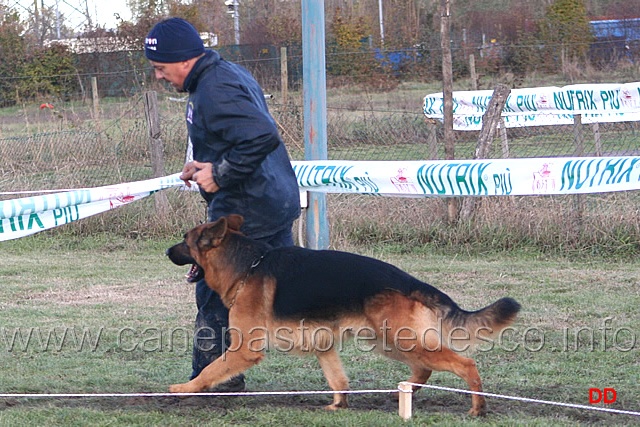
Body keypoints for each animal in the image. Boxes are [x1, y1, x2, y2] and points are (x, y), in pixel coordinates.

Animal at [165, 216, 520, 416]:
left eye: (184, 240)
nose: (167, 251)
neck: (246, 267)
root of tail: (412, 282)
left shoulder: (243, 350)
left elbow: (211, 369)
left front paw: (185, 389)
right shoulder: (324, 346)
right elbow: (338, 379)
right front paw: (339, 406)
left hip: (400, 341)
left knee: (465, 364)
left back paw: (478, 407)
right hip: (392, 342)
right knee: (424, 368)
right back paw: (402, 393)